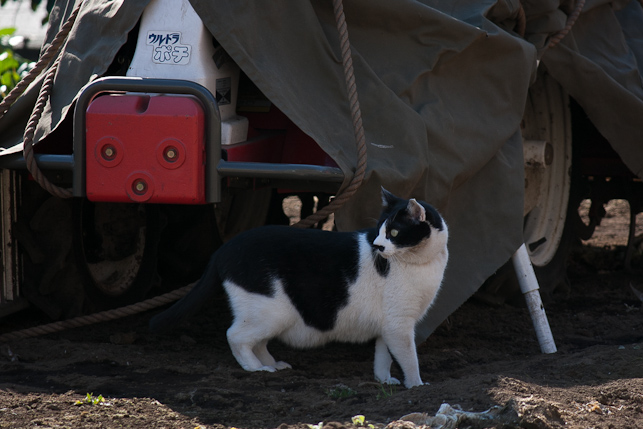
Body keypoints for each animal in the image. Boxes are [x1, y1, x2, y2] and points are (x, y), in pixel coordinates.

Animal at [150, 188, 448, 388]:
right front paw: (417, 386)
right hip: (270, 312)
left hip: (269, 315)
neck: (423, 262)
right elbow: (408, 357)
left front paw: (384, 380)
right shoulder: (399, 325)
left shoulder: (389, 325)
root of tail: (223, 249)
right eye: (379, 230)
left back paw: (271, 364)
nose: (377, 246)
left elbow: (383, 354)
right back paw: (256, 369)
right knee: (235, 336)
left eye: (393, 233)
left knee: (257, 341)